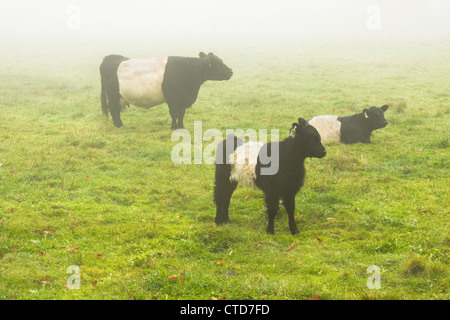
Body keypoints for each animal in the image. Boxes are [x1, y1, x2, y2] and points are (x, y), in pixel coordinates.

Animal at [98, 52, 232, 129]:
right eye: (218, 63)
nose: (231, 71)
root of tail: (108, 57)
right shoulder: (171, 98)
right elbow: (174, 113)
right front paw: (173, 127)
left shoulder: (182, 99)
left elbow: (181, 113)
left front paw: (181, 126)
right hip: (113, 94)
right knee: (113, 108)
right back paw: (119, 125)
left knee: (115, 109)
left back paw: (118, 124)